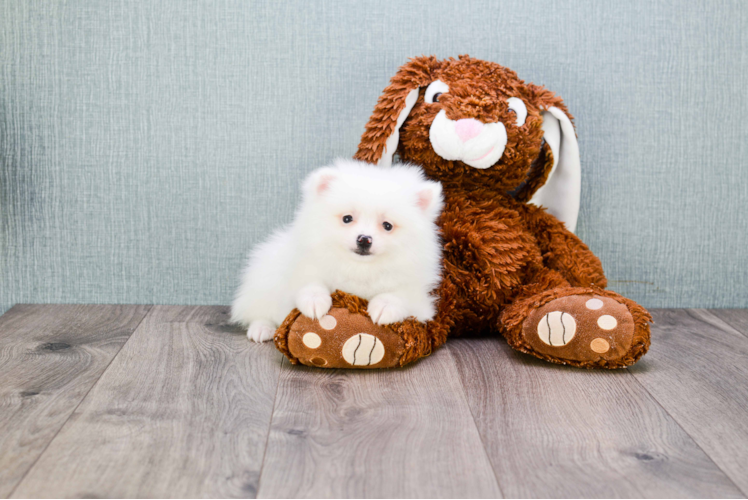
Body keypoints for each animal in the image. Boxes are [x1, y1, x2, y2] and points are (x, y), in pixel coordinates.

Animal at [232, 158, 444, 342]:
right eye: (347, 218)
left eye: (387, 226)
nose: (364, 239)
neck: (359, 267)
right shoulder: (303, 269)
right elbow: (310, 282)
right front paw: (315, 301)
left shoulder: (419, 297)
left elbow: (400, 295)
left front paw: (384, 306)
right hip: (264, 279)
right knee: (257, 310)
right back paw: (261, 329)